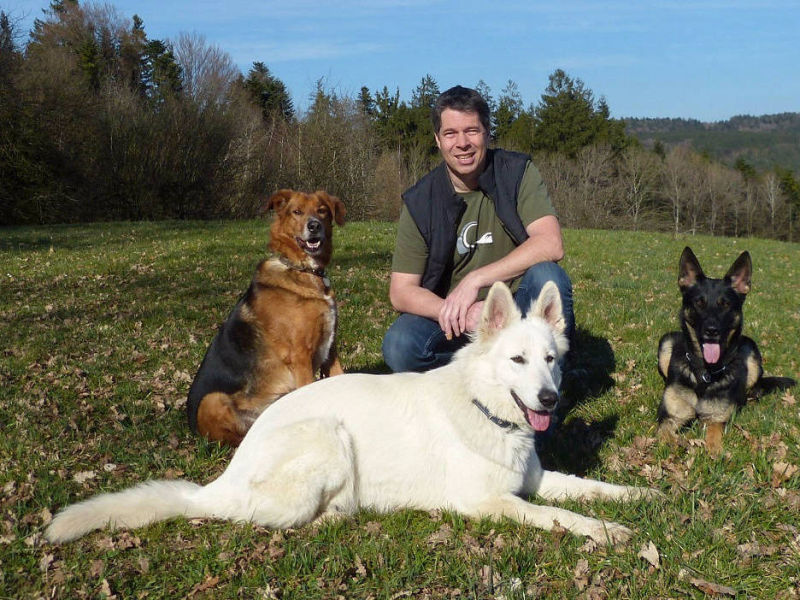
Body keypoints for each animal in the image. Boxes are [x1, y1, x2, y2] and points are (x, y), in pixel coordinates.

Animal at [45, 282, 656, 544]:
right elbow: (559, 516)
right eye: (517, 360)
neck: (483, 410)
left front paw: (641, 496)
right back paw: (340, 514)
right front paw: (606, 531)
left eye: (551, 361)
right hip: (328, 436)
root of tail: (220, 482)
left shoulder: (535, 479)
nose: (548, 400)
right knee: (260, 518)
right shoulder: (491, 503)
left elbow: (589, 488)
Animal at [190, 189, 346, 446]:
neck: (302, 270)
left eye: (322, 210)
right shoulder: (301, 356)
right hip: (211, 400)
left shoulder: (329, 350)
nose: (314, 226)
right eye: (297, 212)